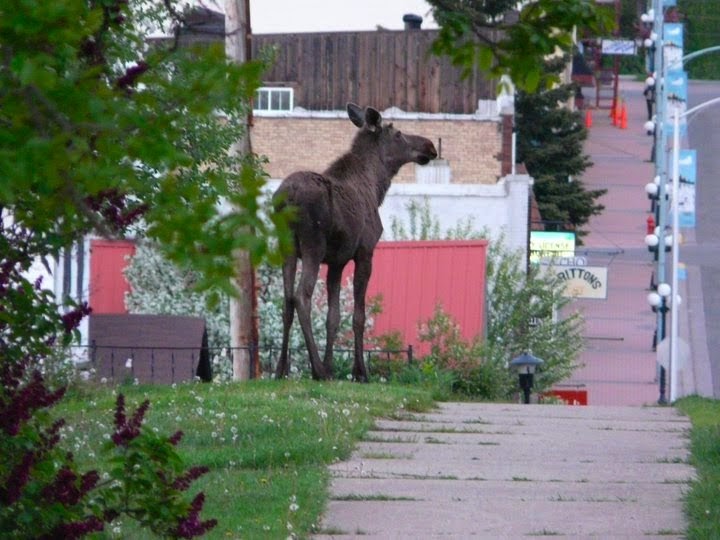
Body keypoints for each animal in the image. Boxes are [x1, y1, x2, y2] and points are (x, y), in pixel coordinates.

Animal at [273, 103, 438, 381]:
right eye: (398, 134)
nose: (430, 146)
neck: (376, 188)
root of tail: (287, 198)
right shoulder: (365, 252)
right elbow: (358, 316)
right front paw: (359, 372)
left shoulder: (336, 262)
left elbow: (333, 316)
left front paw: (331, 366)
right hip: (312, 246)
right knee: (301, 297)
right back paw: (317, 370)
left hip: (287, 248)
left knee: (286, 301)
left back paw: (281, 369)